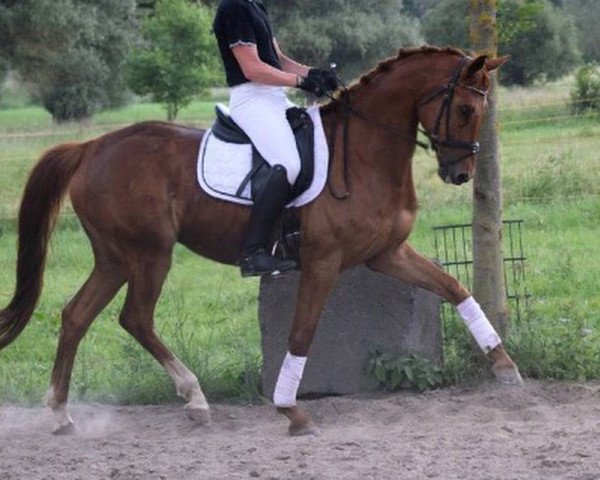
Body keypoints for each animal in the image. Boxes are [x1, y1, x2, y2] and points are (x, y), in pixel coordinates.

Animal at [0, 45, 520, 436]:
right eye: (466, 109)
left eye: (481, 111)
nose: (459, 174)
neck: (365, 152)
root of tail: (90, 147)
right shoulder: (324, 262)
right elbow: (302, 333)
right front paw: (291, 410)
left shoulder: (387, 253)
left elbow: (454, 288)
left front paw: (504, 366)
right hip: (148, 254)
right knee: (135, 318)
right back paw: (194, 398)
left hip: (114, 258)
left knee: (76, 316)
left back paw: (62, 414)